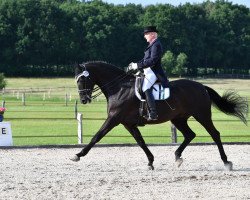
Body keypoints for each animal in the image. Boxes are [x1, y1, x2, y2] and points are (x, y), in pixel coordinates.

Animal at [71, 61, 248, 170]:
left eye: (82, 80)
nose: (84, 100)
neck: (120, 88)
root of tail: (201, 86)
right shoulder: (128, 123)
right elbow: (140, 141)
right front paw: (150, 162)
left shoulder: (113, 119)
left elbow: (97, 136)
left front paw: (78, 155)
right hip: (178, 119)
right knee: (190, 134)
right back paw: (177, 157)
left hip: (202, 115)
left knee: (215, 134)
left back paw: (226, 162)